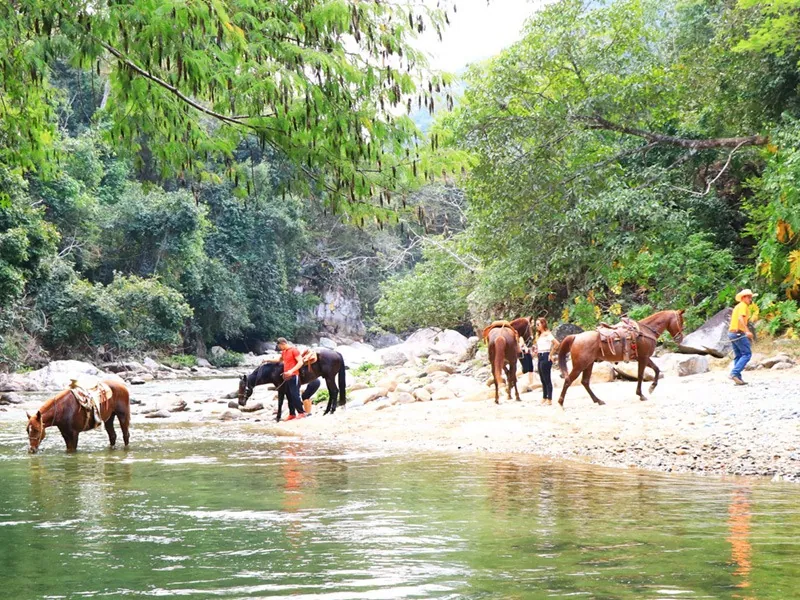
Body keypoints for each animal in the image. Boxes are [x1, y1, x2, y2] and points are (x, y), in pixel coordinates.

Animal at [556, 309, 685, 407]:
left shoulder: (643, 358)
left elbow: (656, 369)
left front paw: (651, 387)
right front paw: (641, 394)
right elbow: (641, 375)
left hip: (589, 364)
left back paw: (598, 400)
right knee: (568, 380)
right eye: (681, 321)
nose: (680, 338)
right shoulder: (643, 358)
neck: (645, 331)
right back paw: (561, 402)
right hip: (580, 365)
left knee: (585, 382)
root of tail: (575, 337)